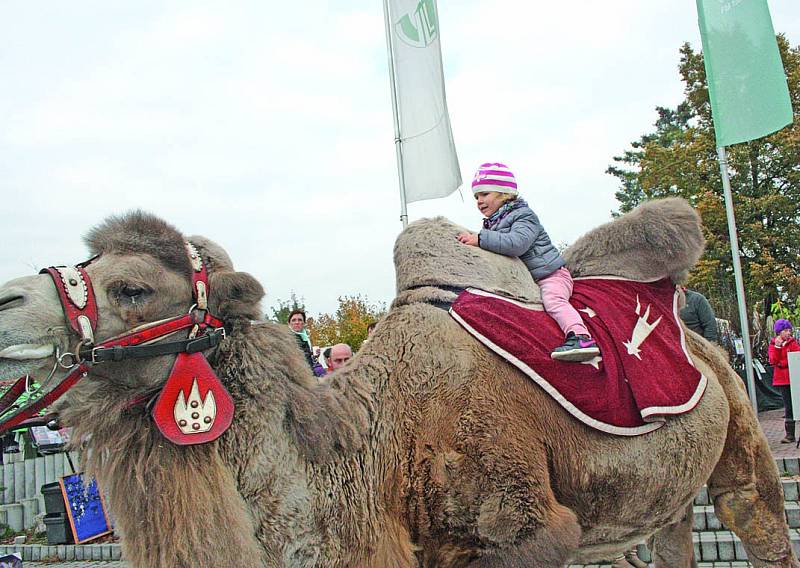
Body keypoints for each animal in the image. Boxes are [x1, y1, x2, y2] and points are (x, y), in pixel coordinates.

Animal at [0, 197, 792, 564]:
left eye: (132, 287)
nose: (6, 302)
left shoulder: (529, 533)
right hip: (651, 505)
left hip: (739, 439)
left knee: (755, 514)